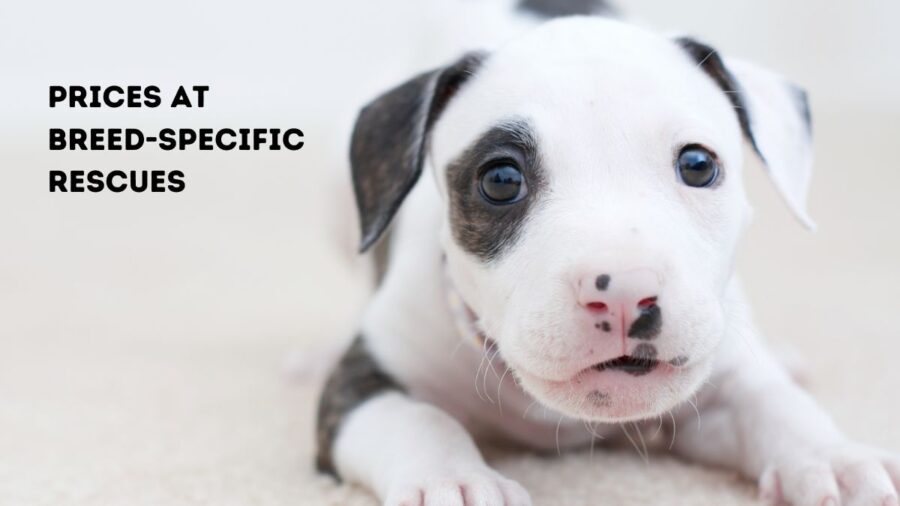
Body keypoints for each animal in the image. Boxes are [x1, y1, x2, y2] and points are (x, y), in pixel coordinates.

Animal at [314, 4, 900, 506]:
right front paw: (453, 481)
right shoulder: (363, 383)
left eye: (698, 165)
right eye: (500, 180)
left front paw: (837, 460)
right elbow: (419, 420)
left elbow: (776, 405)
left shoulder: (722, 385)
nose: (623, 292)